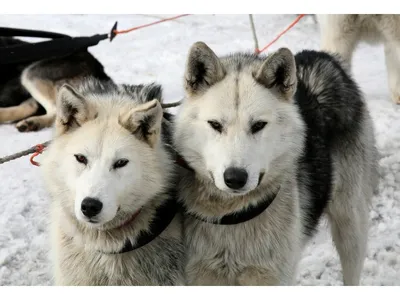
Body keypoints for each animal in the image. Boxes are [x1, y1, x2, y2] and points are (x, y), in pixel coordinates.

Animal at [173, 42, 380, 286]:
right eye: (215, 124)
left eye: (258, 125)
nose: (235, 178)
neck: (232, 217)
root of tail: (322, 56)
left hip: (350, 226)